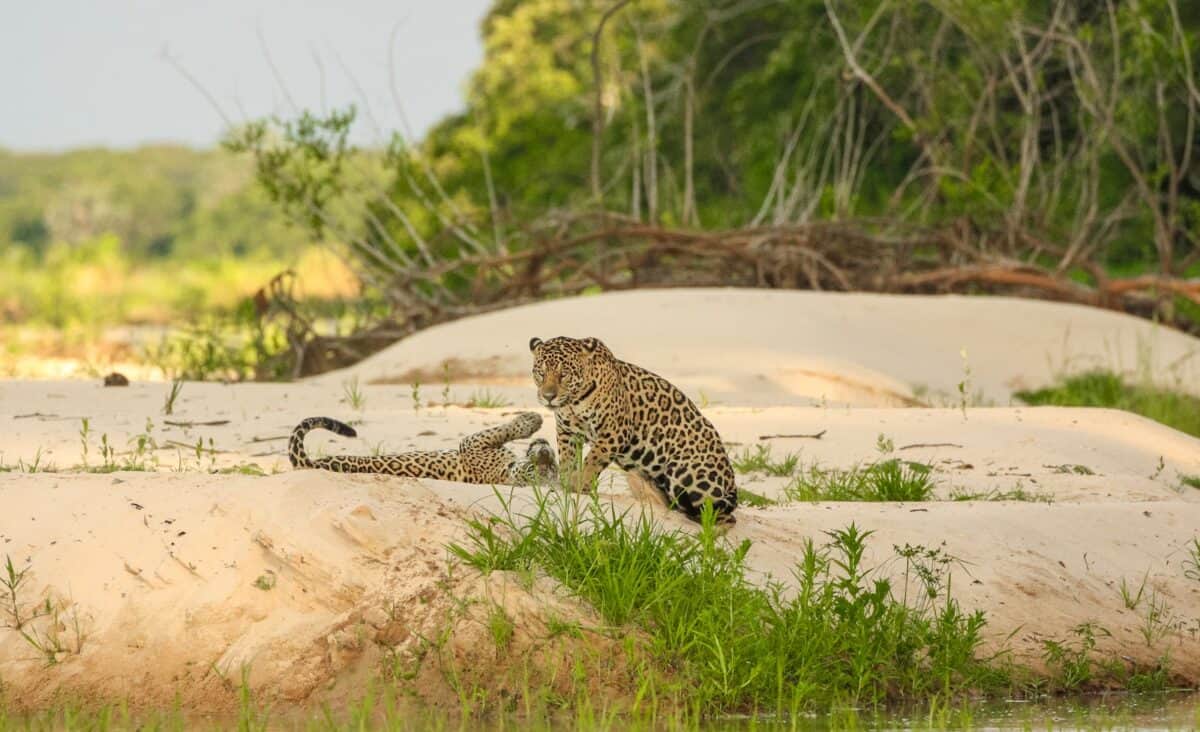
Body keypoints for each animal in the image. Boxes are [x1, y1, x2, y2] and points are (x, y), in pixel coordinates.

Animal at [289, 411, 557, 485]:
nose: (544, 453)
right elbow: (505, 429)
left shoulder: (472, 444)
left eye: (547, 470)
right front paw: (534, 420)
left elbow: (503, 429)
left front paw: (532, 421)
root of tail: (308, 463)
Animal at [529, 336, 738, 524]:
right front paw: (565, 483)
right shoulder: (567, 431)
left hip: (684, 472)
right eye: (540, 373)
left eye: (563, 374)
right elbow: (567, 459)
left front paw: (581, 484)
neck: (573, 402)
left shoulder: (615, 430)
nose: (548, 396)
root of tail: (732, 484)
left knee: (721, 515)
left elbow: (593, 459)